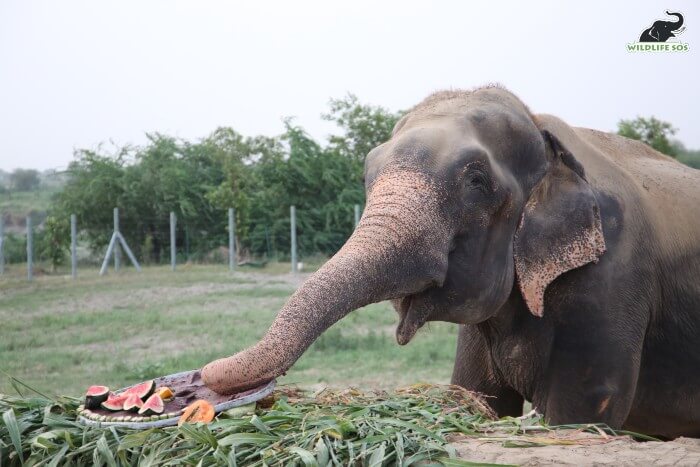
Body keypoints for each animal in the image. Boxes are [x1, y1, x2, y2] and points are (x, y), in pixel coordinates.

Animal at [201, 86, 700, 440]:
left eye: (476, 182)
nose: (205, 375)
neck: (543, 130)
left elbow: (576, 416)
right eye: (366, 174)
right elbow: (479, 396)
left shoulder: (611, 281)